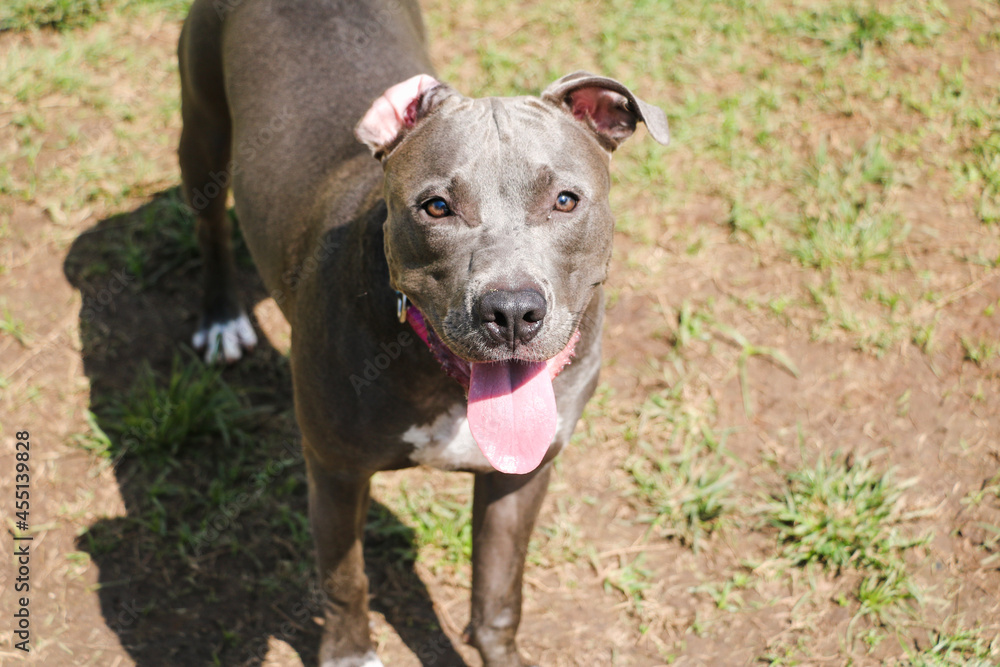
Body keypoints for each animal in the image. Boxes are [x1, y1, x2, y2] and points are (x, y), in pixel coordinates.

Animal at [176, 1, 668, 667]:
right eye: (436, 207)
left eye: (566, 200)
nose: (512, 311)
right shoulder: (334, 470)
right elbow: (344, 579)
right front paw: (350, 654)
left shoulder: (521, 477)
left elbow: (498, 596)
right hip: (202, 130)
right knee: (209, 225)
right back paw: (221, 317)